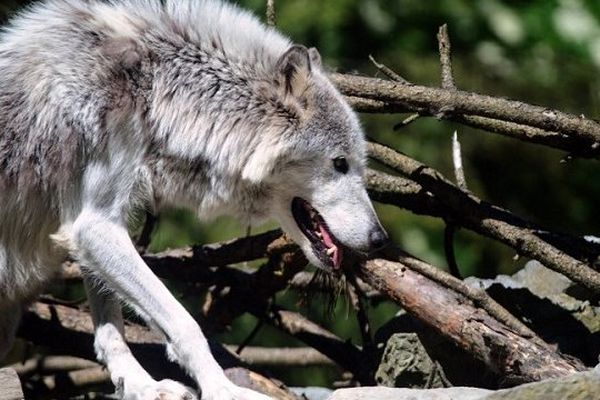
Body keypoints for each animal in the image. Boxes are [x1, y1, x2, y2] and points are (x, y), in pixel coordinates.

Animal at [0, 0, 390, 398]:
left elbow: (111, 330)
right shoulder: (95, 226)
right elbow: (184, 323)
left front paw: (141, 386)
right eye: (340, 163)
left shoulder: (95, 223)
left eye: (359, 164)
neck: (155, 87)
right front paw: (222, 388)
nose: (380, 239)